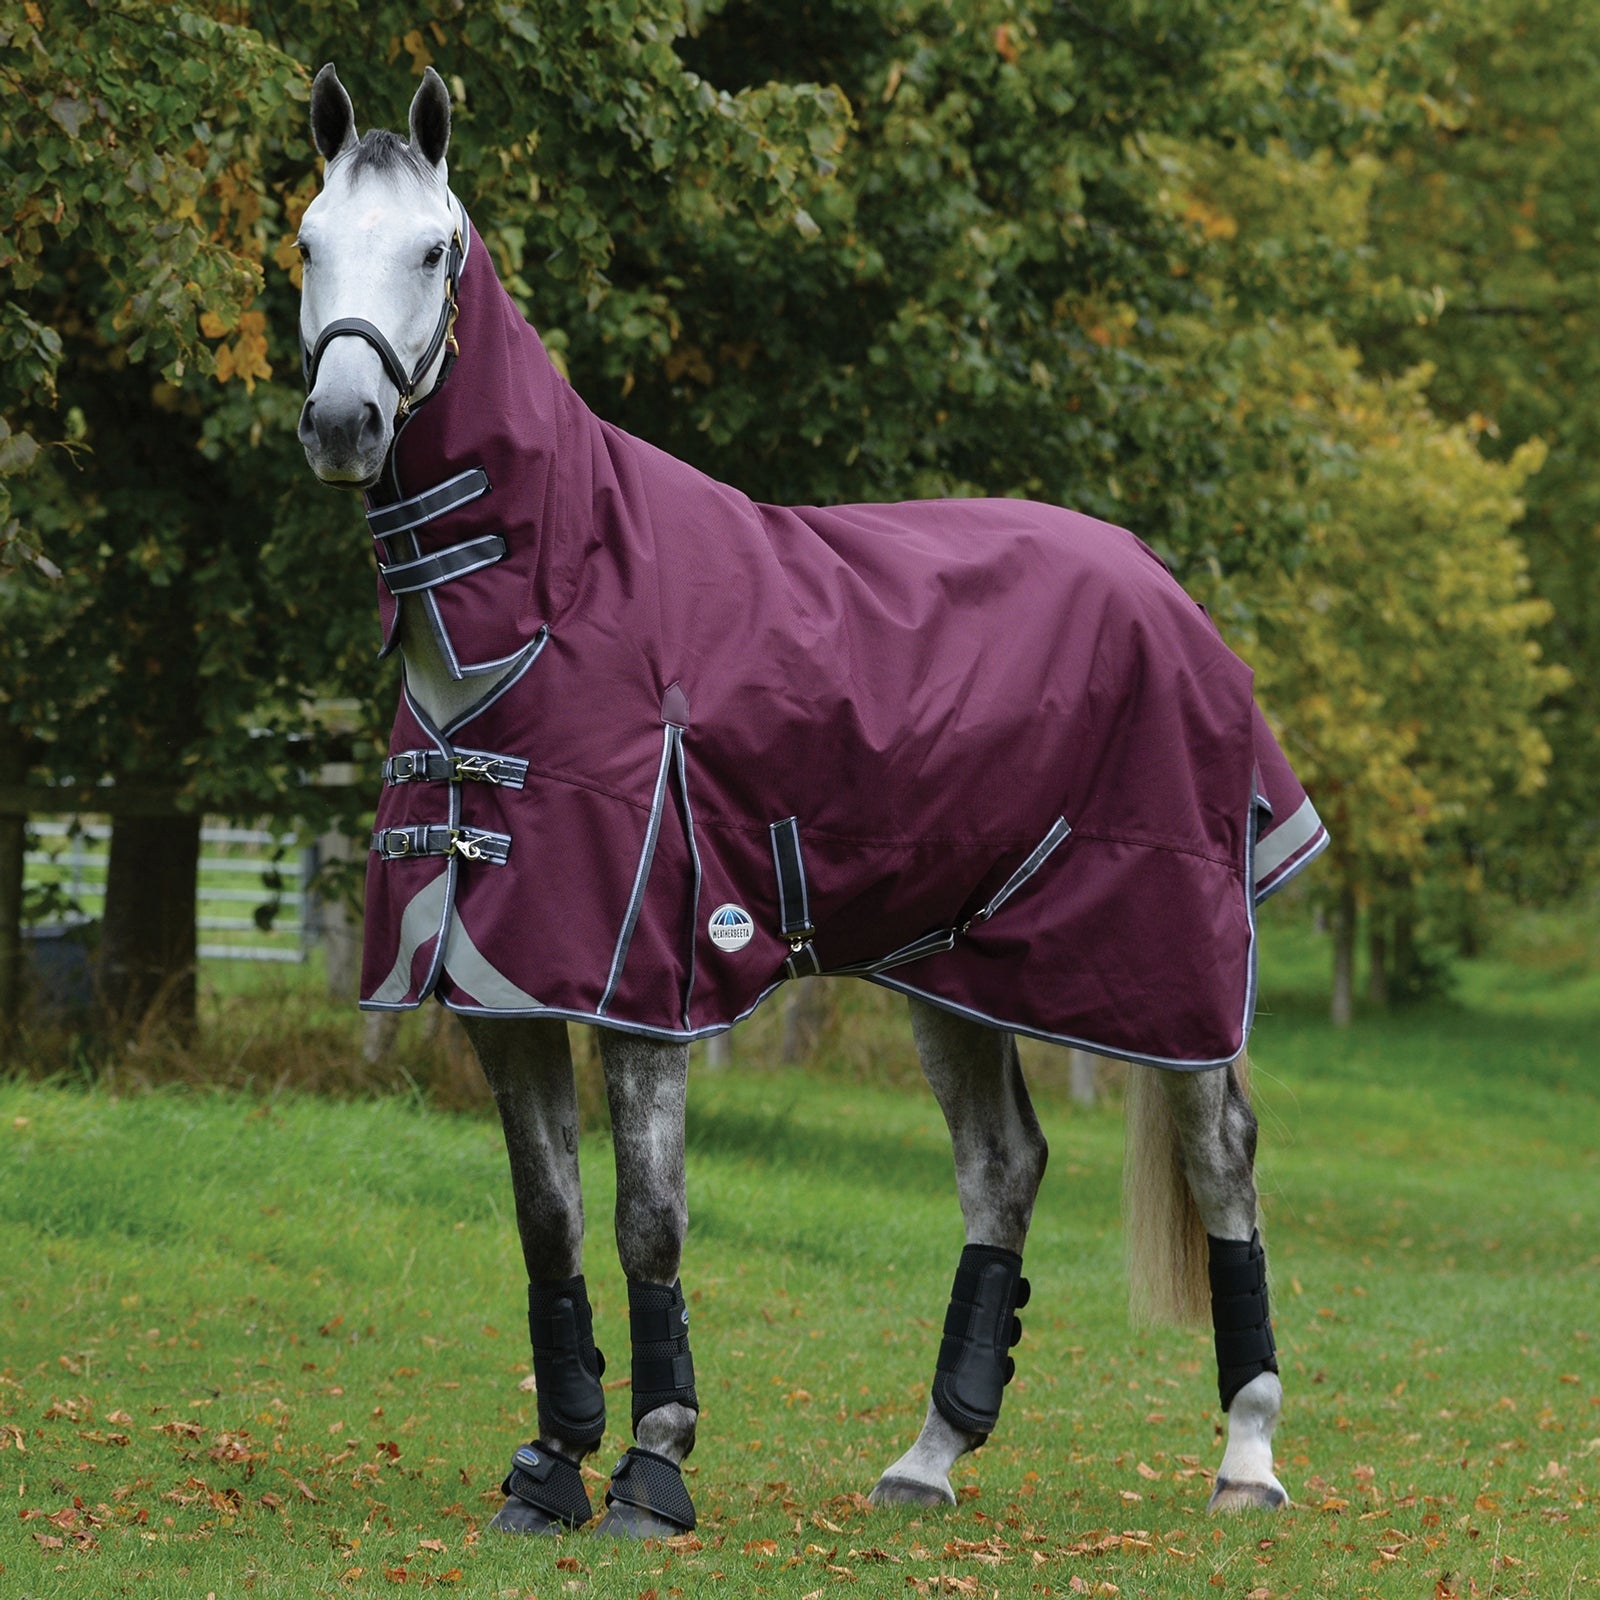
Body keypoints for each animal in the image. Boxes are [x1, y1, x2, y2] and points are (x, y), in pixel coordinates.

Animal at [293, 65, 1327, 1536]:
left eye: (433, 250)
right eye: (307, 243)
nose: (343, 425)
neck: (559, 601)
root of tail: (1162, 588)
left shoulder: (647, 983)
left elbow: (647, 1220)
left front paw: (653, 1470)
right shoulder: (507, 992)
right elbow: (548, 1223)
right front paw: (548, 1470)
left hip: (1163, 967)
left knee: (1222, 1155)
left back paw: (1247, 1457)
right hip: (955, 971)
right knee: (1002, 1168)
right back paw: (929, 1457)